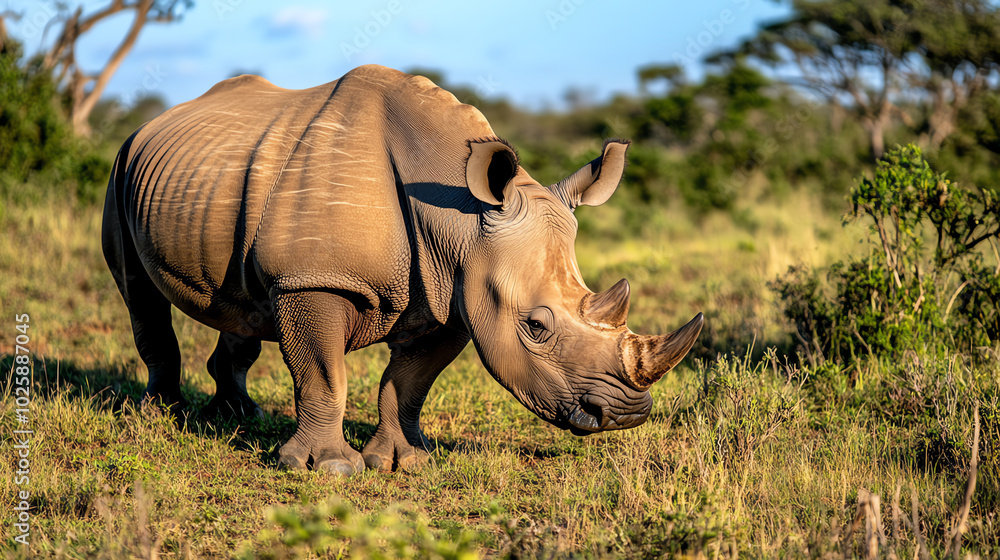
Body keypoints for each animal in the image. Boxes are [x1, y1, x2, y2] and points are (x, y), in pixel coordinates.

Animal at [102, 65, 703, 475]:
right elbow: (323, 373)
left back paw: (236, 415)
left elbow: (410, 381)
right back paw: (162, 417)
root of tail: (151, 123)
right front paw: (326, 468)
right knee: (139, 295)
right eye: (535, 326)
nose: (626, 414)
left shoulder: (454, 293)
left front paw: (404, 461)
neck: (459, 216)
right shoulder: (314, 280)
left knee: (240, 305)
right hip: (120, 166)